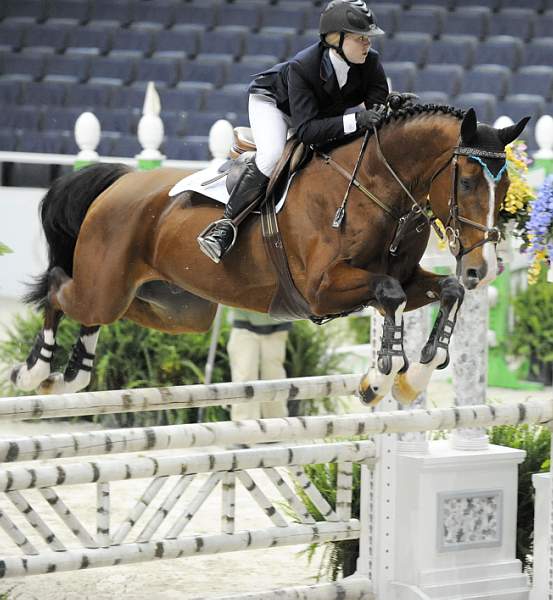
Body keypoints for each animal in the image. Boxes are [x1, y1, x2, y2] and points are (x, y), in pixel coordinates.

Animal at [8, 105, 528, 408]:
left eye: (504, 186)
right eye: (466, 182)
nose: (484, 269)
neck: (379, 188)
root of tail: (119, 182)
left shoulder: (408, 277)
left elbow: (445, 290)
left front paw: (411, 377)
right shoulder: (322, 290)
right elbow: (389, 294)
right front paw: (382, 379)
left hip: (173, 308)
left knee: (97, 313)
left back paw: (72, 376)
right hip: (108, 284)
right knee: (58, 290)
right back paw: (34, 371)